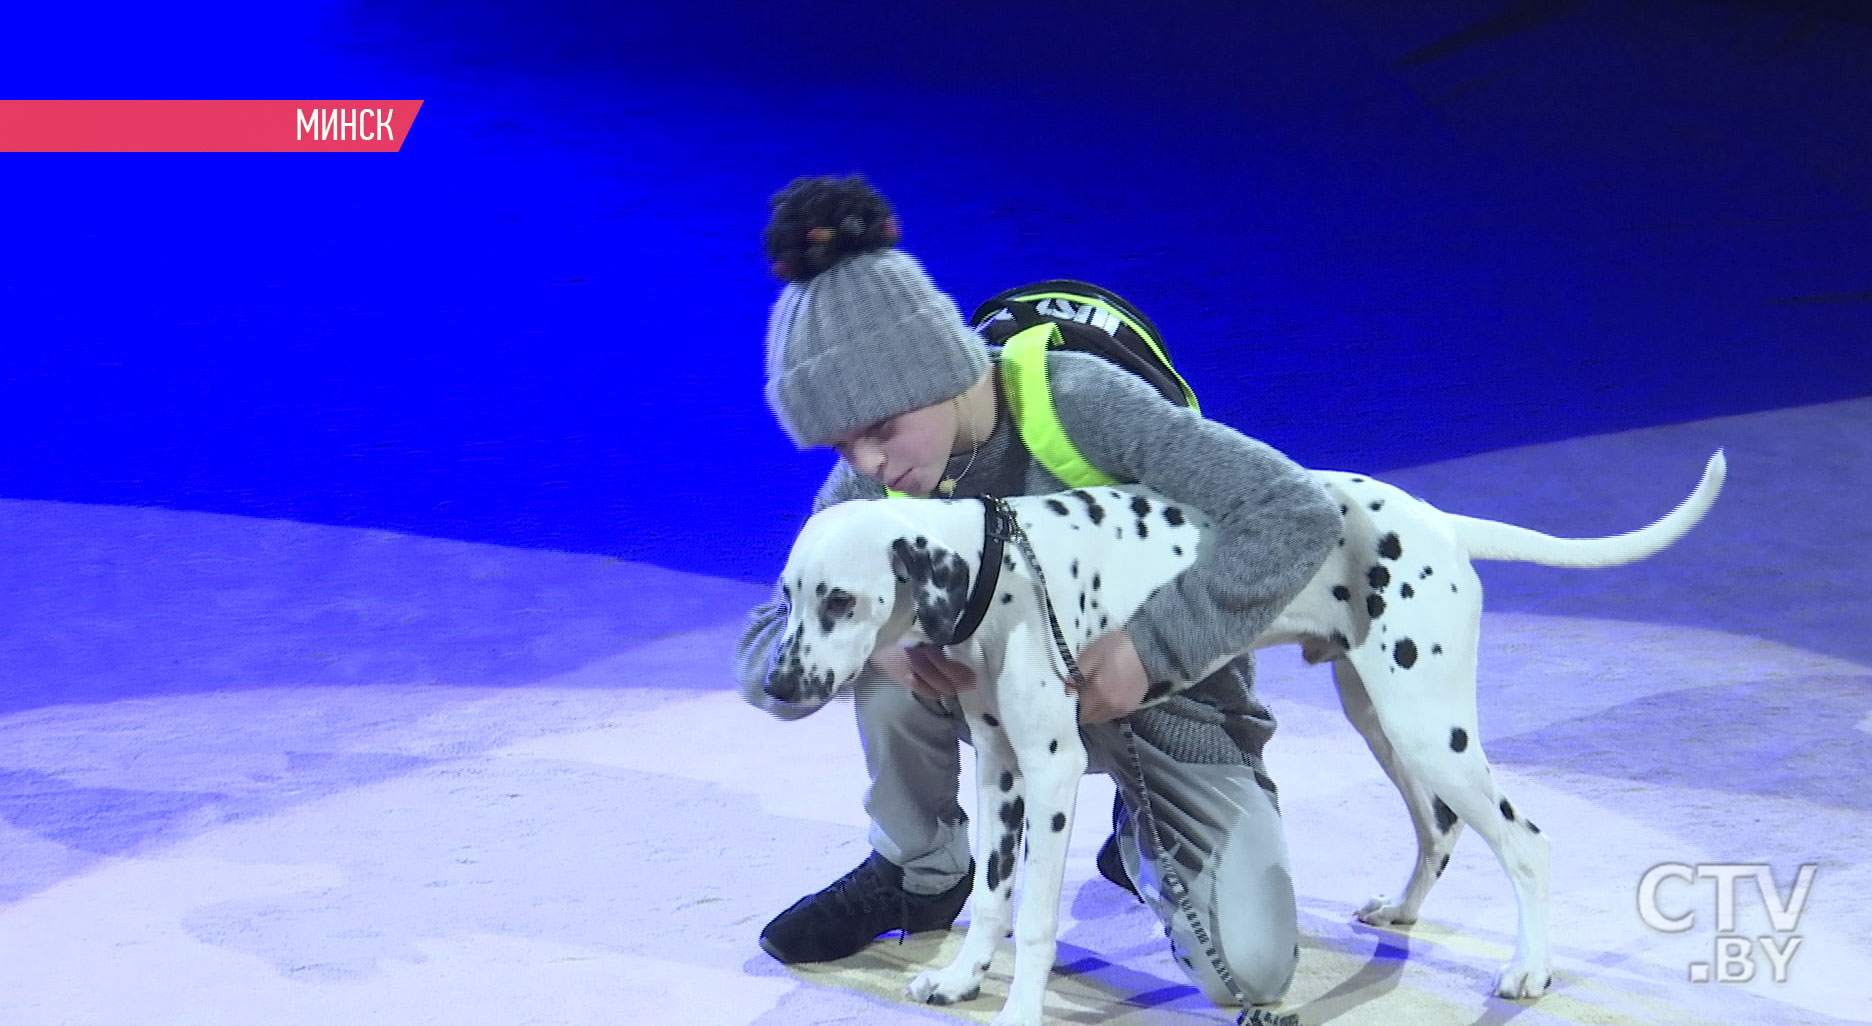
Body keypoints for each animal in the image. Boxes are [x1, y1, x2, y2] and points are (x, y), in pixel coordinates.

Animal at [760, 453, 1722, 1018]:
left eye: (840, 600)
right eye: (790, 595)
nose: (775, 685)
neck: (999, 573)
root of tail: (1438, 520)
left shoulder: (1052, 776)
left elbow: (1031, 921)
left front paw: (1017, 1009)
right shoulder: (999, 773)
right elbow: (993, 901)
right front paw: (961, 978)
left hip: (1426, 728)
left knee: (1526, 843)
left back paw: (1530, 969)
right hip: (1382, 721)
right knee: (1438, 830)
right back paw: (1404, 910)